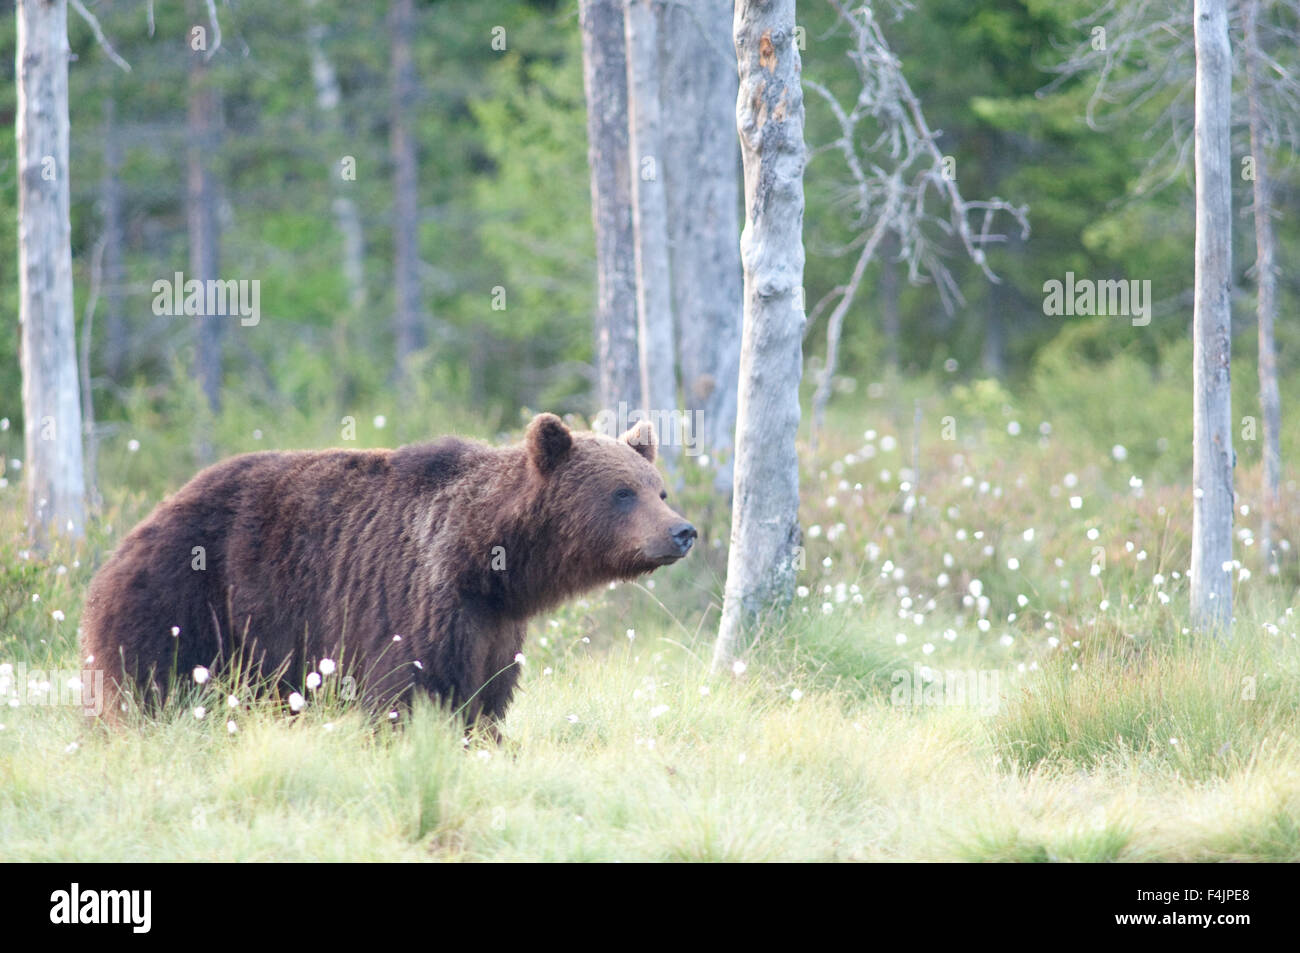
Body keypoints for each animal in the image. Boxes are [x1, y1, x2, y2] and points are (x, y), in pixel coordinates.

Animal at [80, 413, 695, 733]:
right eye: (622, 492)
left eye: (658, 489)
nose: (682, 531)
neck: (489, 567)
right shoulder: (411, 601)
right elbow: (404, 692)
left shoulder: (493, 631)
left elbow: (487, 700)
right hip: (185, 602)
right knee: (160, 685)